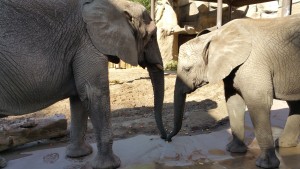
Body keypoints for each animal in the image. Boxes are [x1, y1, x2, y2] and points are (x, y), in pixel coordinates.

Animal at [0, 0, 168, 169]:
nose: (166, 137)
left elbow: (79, 97)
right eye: (151, 36)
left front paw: (78, 155)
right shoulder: (87, 43)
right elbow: (93, 93)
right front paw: (109, 165)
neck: (117, 4)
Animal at [168, 13, 300, 168]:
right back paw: (283, 144)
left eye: (187, 69)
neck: (217, 35)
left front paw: (265, 165)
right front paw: (234, 151)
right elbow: (234, 102)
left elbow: (259, 103)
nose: (168, 139)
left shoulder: (253, 63)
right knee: (295, 104)